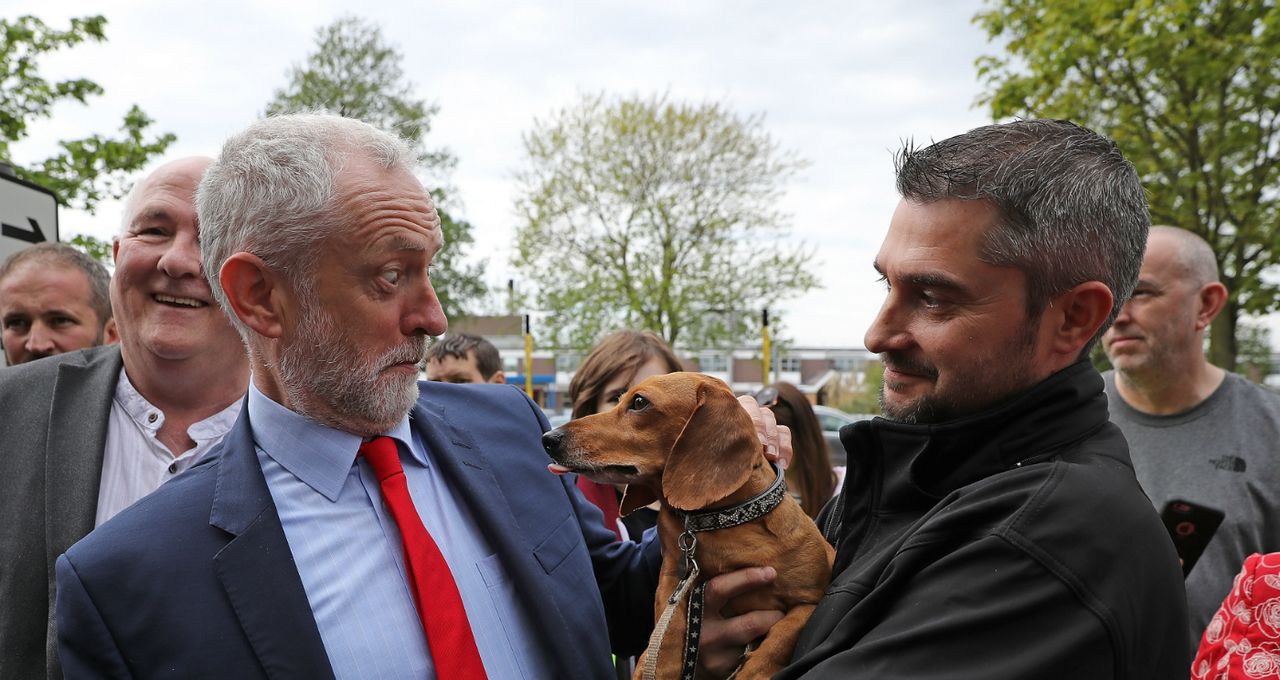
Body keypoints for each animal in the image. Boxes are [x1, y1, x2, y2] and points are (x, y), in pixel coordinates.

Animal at [542, 371, 834, 680]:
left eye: (639, 402)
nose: (549, 438)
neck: (721, 523)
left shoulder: (811, 599)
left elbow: (784, 634)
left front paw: (754, 671)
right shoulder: (674, 575)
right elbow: (669, 623)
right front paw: (657, 665)